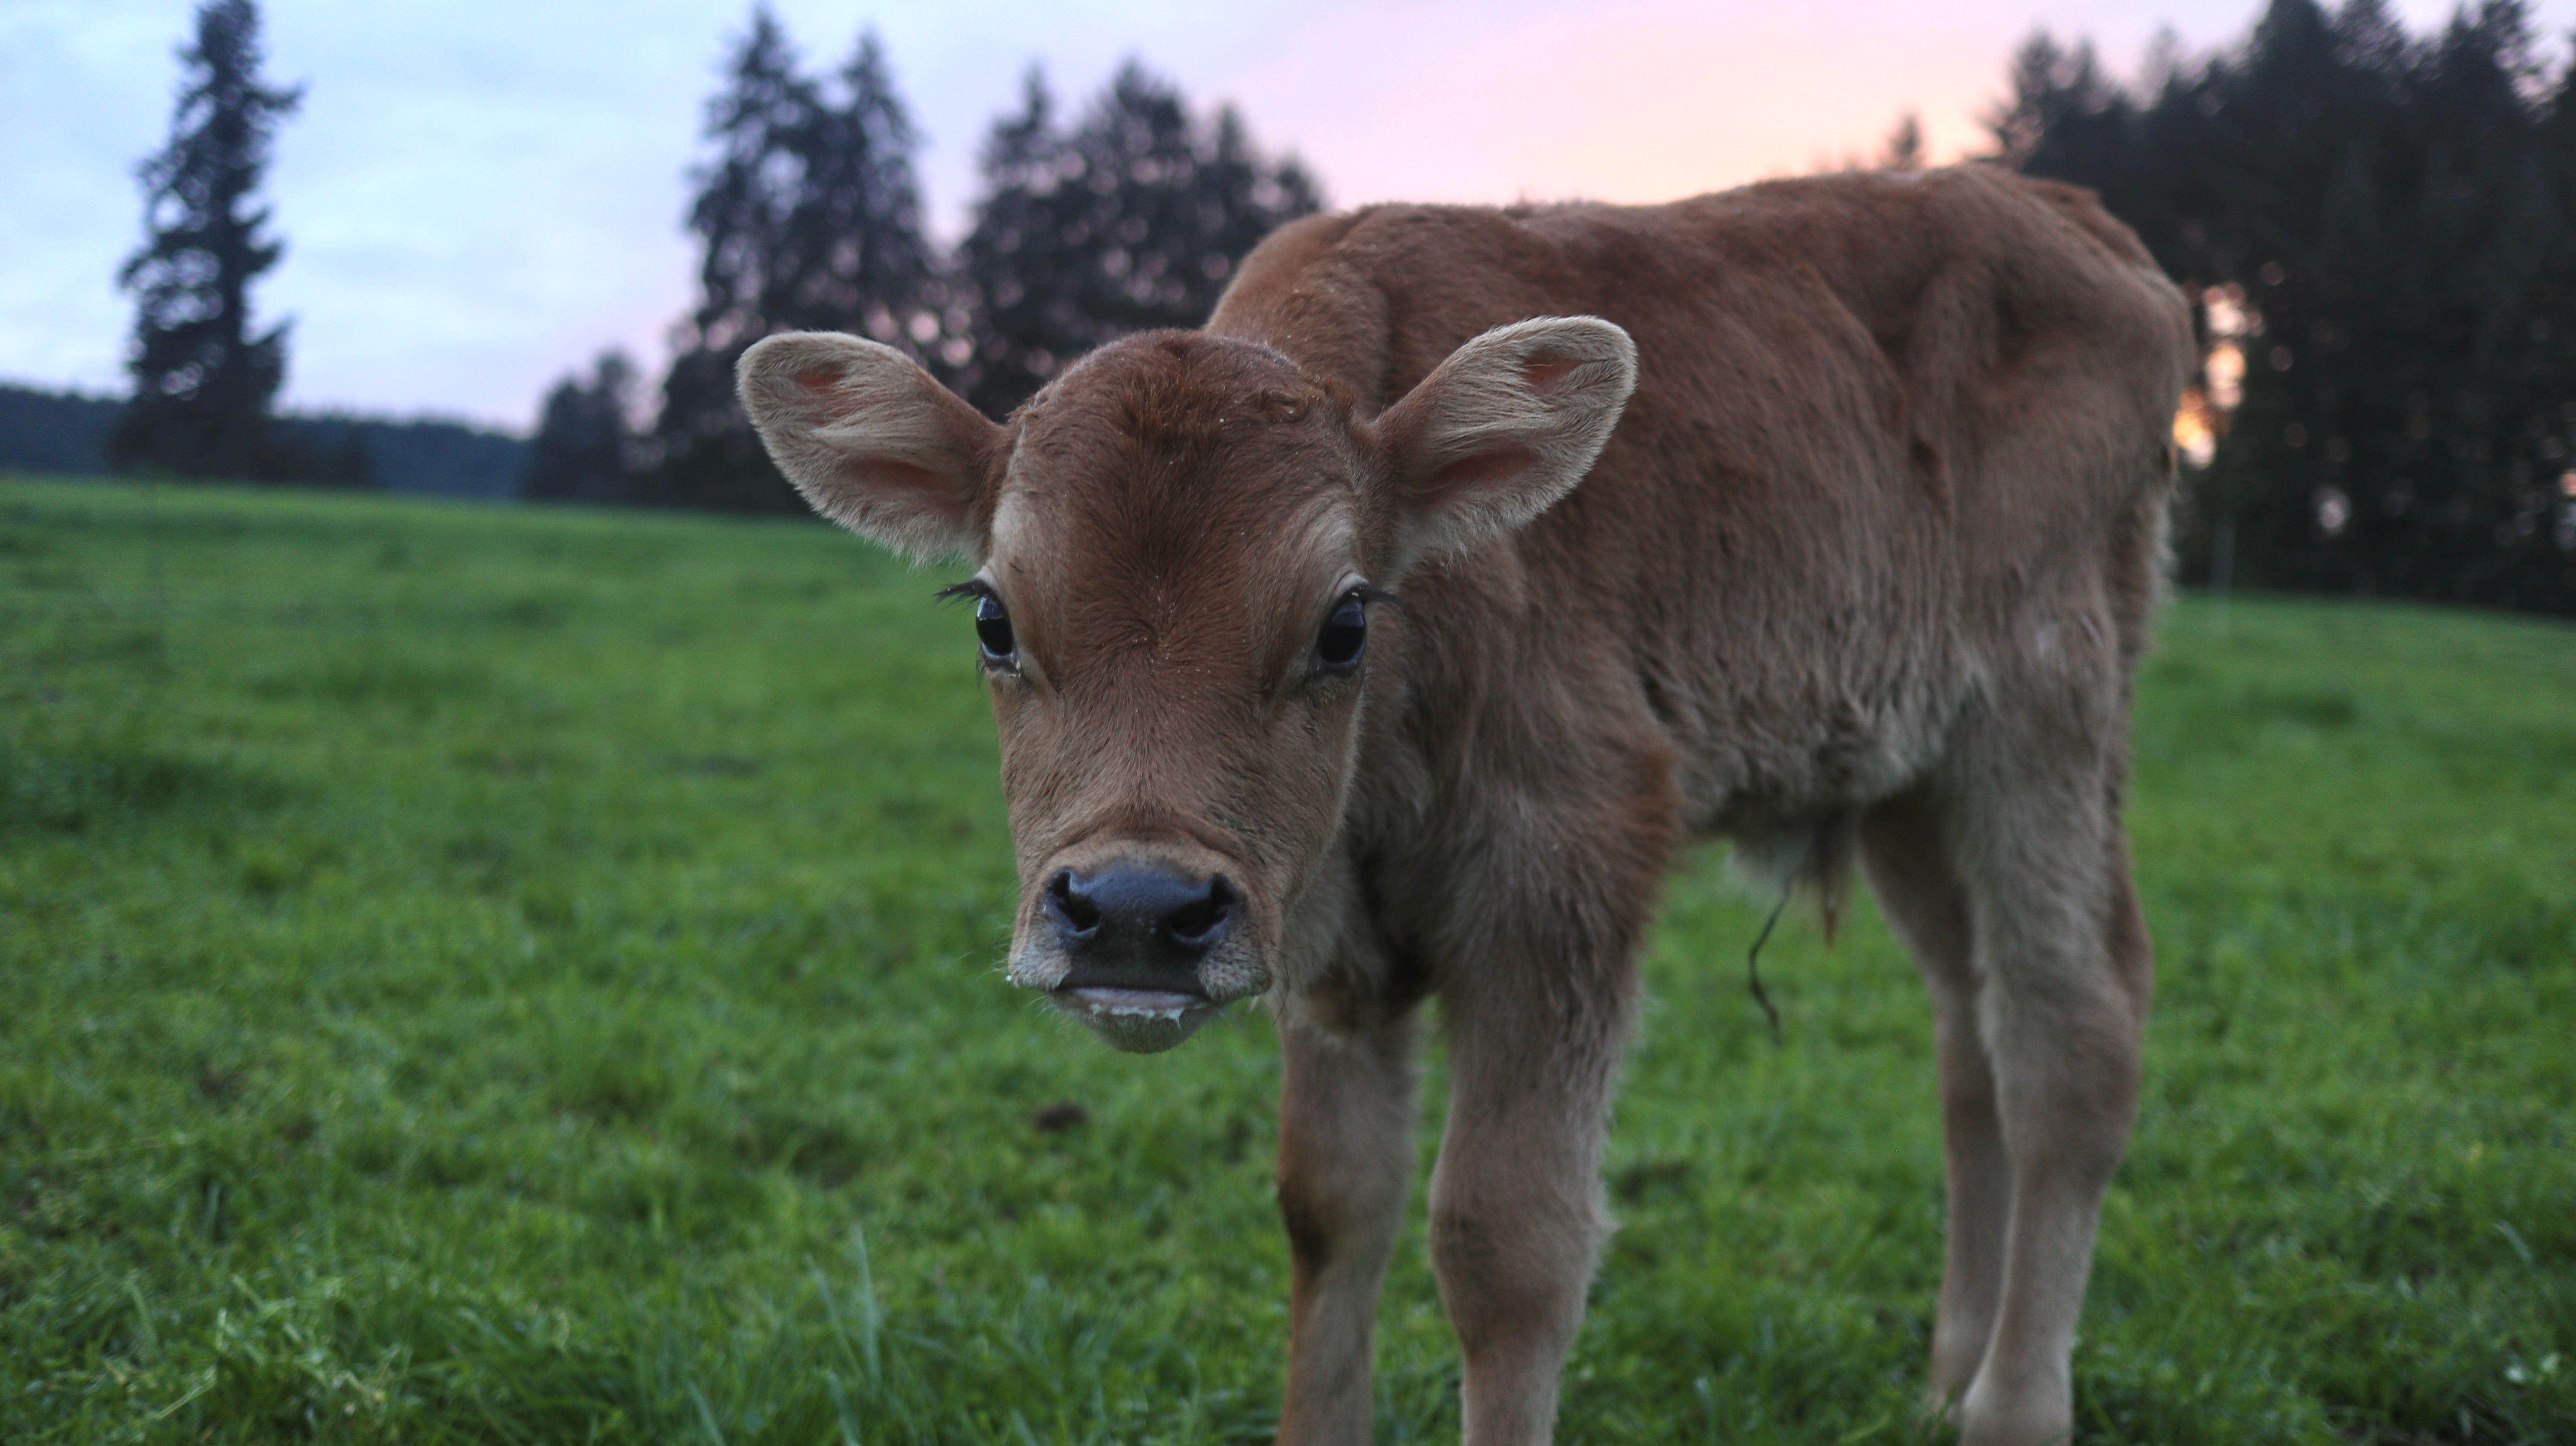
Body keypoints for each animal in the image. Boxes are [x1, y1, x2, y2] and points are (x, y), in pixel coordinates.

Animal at [736, 163, 2195, 1446]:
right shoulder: (1324, 939)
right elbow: (1330, 1206)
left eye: (1343, 621)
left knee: (2073, 1035)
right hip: (1908, 782)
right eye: (991, 616)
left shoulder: (1565, 882)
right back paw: (1948, 1375)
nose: (1135, 913)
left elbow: (1507, 1244)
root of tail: (2083, 227)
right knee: (1970, 1036)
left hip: (2041, 729)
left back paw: (2011, 1409)